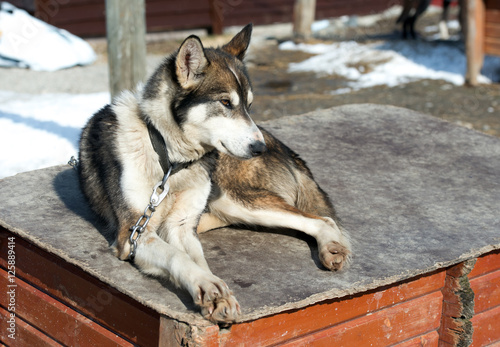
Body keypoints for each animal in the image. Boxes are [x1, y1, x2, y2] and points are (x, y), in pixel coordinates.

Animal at [79, 23, 352, 324]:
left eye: (248, 105)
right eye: (225, 102)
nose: (259, 148)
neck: (170, 160)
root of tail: (282, 146)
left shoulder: (180, 226)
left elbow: (195, 259)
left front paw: (214, 290)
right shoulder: (134, 234)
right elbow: (179, 258)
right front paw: (210, 288)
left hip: (237, 200)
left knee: (323, 220)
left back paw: (330, 247)